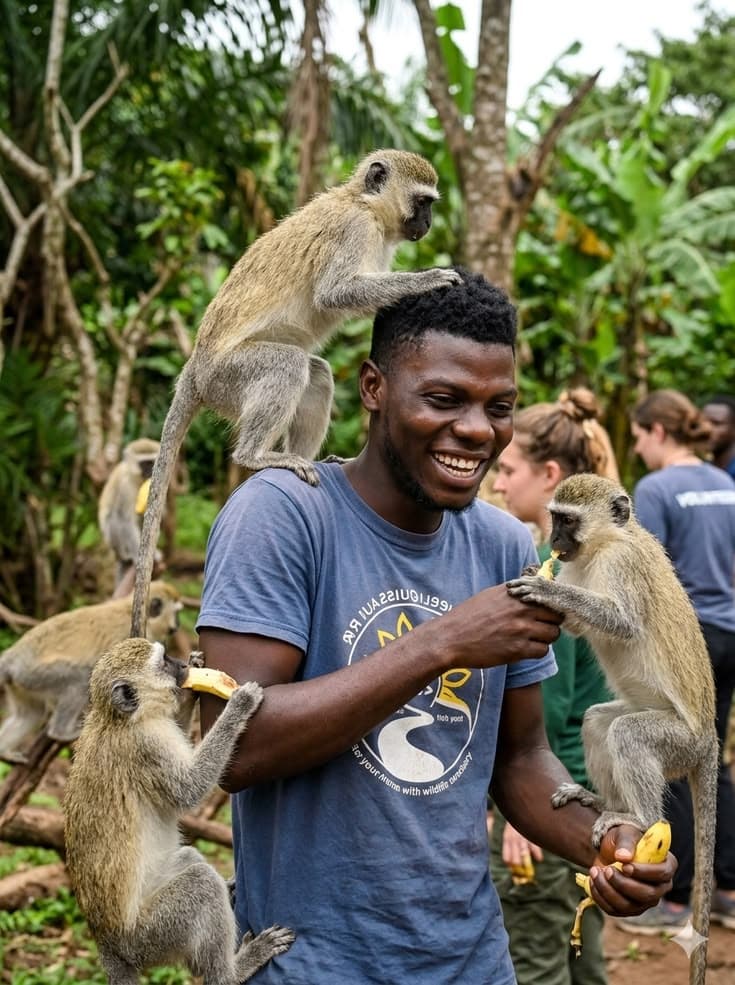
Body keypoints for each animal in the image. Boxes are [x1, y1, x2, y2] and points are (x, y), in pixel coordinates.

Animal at [0, 581, 182, 763]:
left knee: (29, 714)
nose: (177, 626)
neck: (125, 608)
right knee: (78, 680)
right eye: (175, 613)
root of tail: (13, 656)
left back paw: (5, 751)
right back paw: (61, 732)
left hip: (21, 684)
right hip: (34, 675)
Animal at [64, 638, 294, 984]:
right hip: (150, 935)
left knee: (188, 859)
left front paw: (194, 678)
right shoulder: (148, 748)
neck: (120, 719)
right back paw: (231, 971)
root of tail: (105, 940)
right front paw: (237, 706)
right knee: (200, 883)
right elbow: (190, 790)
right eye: (163, 662)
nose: (182, 667)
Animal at [98, 439, 161, 587]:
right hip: (113, 542)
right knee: (115, 518)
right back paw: (127, 556)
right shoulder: (125, 486)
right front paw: (139, 556)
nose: (150, 472)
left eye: (152, 462)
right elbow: (125, 520)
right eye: (144, 463)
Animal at [130, 148, 461, 637]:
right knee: (288, 366)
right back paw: (256, 456)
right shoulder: (353, 231)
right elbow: (335, 293)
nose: (429, 223)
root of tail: (195, 368)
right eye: (423, 201)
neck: (363, 203)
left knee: (317, 373)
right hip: (229, 377)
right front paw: (428, 279)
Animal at [506, 473, 718, 985]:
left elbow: (618, 620)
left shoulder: (624, 566)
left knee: (629, 734)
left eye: (567, 521)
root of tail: (709, 740)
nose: (555, 541)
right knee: (599, 721)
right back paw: (601, 801)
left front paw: (548, 591)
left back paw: (637, 819)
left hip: (680, 743)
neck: (604, 546)